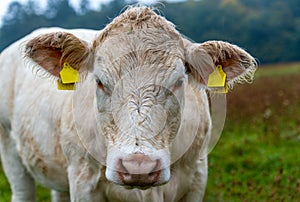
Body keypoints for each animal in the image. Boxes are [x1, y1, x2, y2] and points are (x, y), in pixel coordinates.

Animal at [0, 6, 258, 202]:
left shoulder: (197, 178)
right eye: (100, 81)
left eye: (178, 81)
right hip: (10, 150)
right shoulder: (83, 181)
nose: (138, 166)